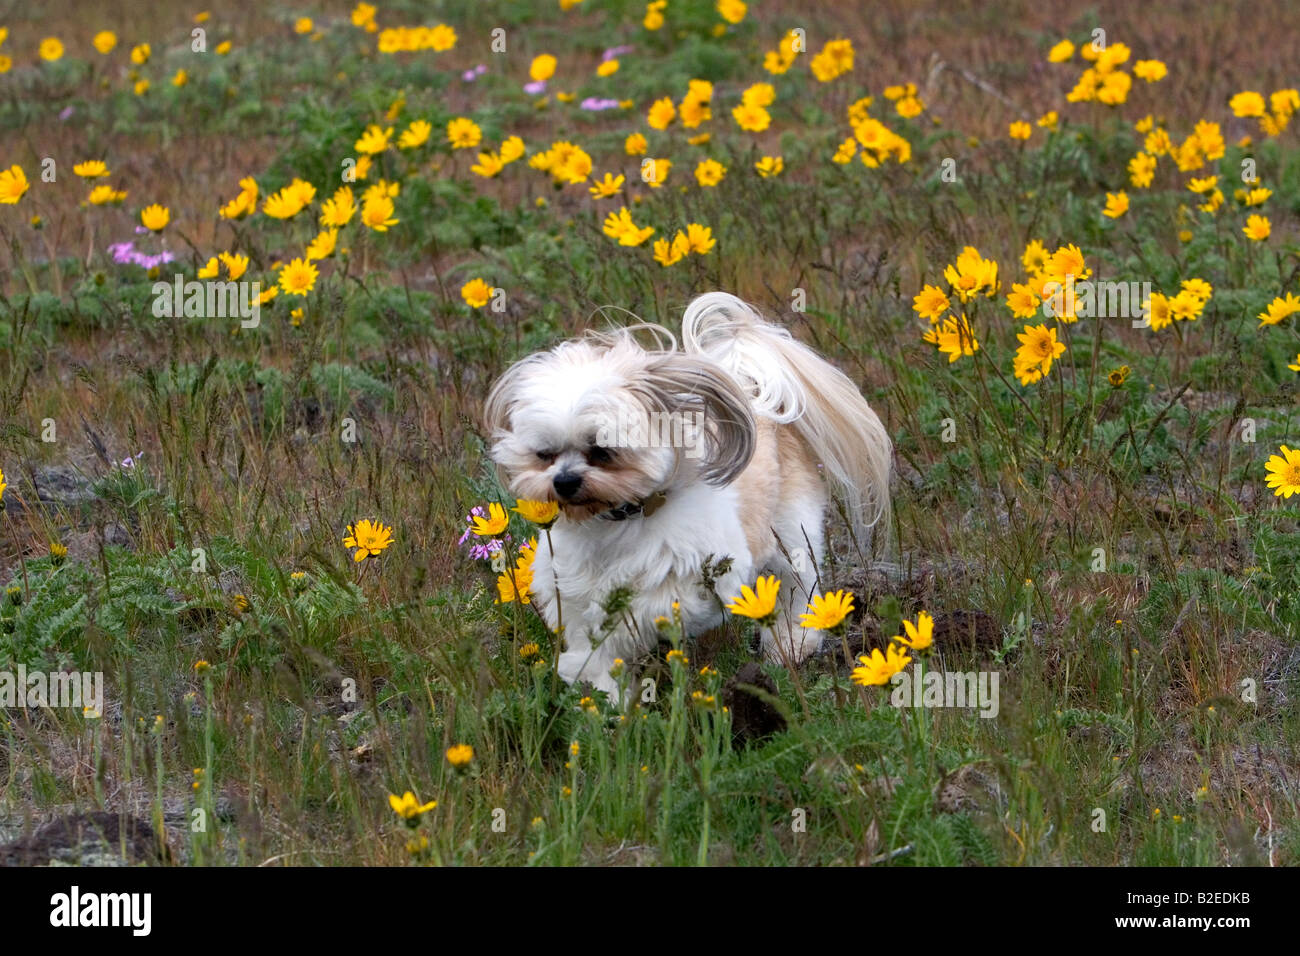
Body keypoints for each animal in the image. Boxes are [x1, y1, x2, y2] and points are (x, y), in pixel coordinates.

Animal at [483, 295, 889, 697]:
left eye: (602, 451)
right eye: (544, 454)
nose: (564, 481)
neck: (620, 522)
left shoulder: (712, 578)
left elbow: (654, 609)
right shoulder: (572, 593)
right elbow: (595, 651)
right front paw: (606, 692)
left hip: (792, 533)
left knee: (797, 587)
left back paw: (793, 643)